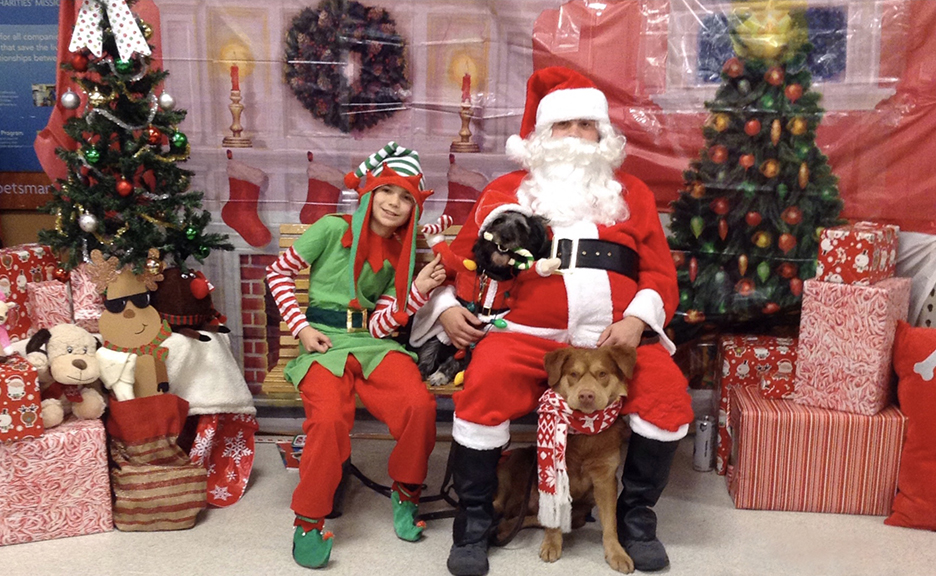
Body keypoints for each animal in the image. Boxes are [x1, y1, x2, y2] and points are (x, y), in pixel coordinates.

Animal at [414, 213, 548, 388]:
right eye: (498, 221)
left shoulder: (474, 336)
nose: (505, 237)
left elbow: (457, 359)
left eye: (521, 227)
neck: (492, 274)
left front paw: (441, 373)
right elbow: (431, 347)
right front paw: (423, 368)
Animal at [490, 344, 636, 572]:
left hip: (579, 513)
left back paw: (506, 525)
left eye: (602, 374)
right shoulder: (555, 474)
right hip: (512, 463)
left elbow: (610, 523)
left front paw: (617, 553)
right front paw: (551, 544)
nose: (586, 395)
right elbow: (553, 518)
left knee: (533, 518)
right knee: (503, 502)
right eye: (573, 374)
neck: (585, 431)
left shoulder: (605, 480)